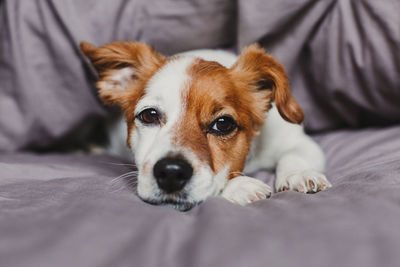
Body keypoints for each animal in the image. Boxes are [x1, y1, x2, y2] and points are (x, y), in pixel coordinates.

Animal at [79, 42, 330, 211]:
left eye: (223, 124)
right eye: (149, 115)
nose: (171, 172)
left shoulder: (299, 142)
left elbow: (293, 156)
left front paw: (298, 175)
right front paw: (240, 186)